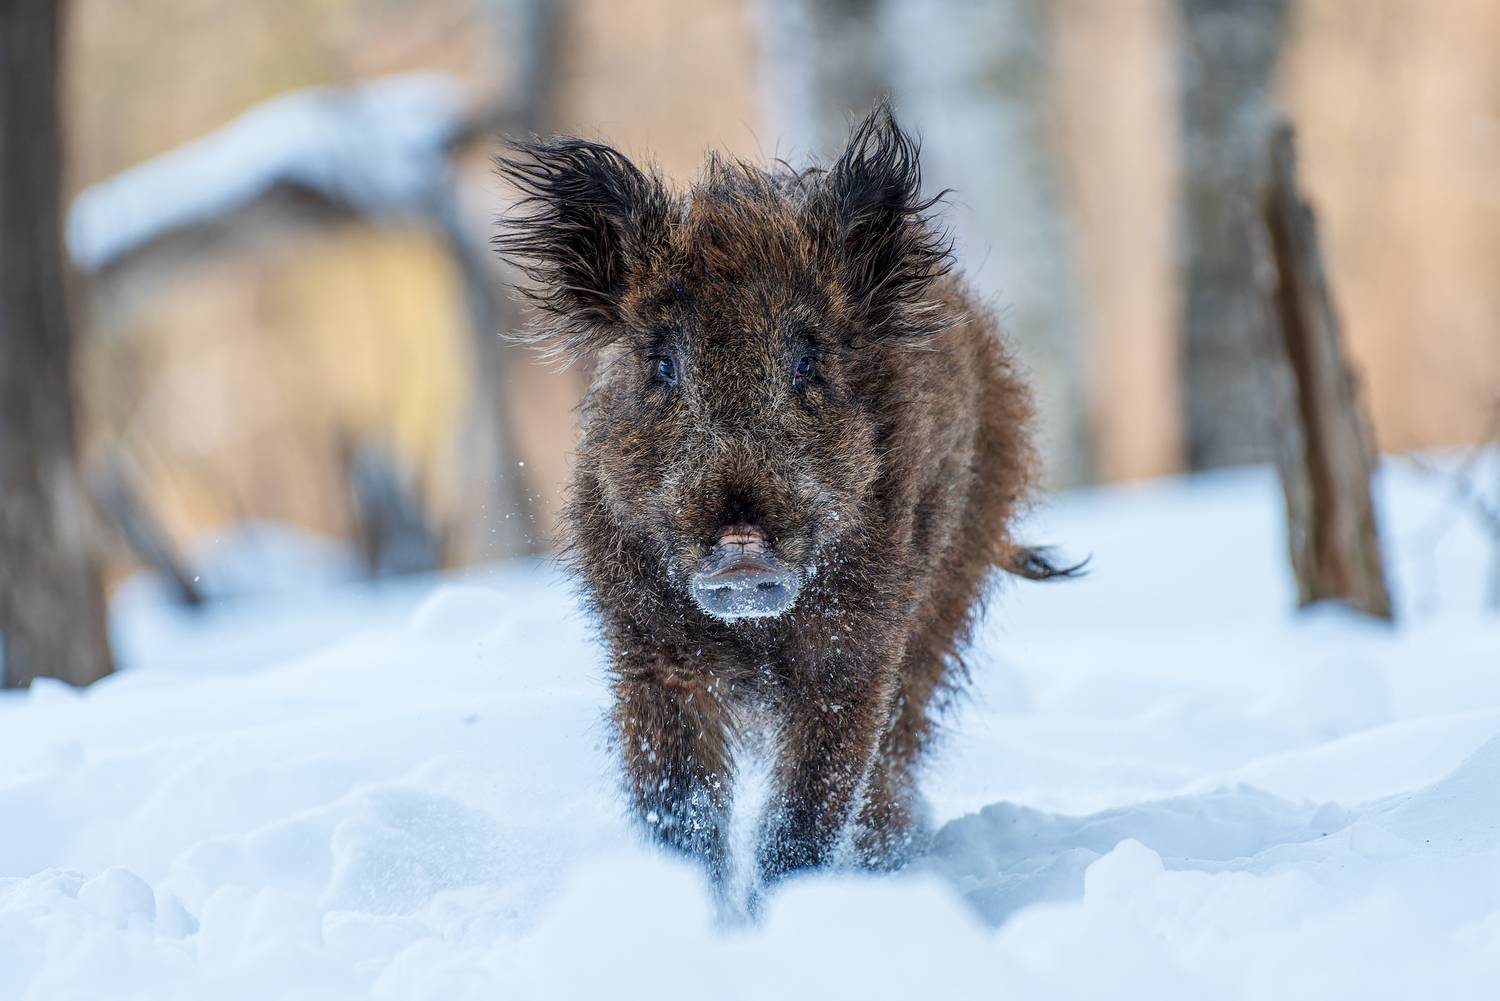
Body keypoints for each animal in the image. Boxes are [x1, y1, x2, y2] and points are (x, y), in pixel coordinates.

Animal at [495, 105, 1074, 901]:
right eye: (663, 365)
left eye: (807, 363)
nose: (742, 541)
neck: (754, 641)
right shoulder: (649, 656)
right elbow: (680, 809)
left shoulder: (857, 654)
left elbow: (807, 812)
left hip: (946, 598)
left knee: (898, 751)